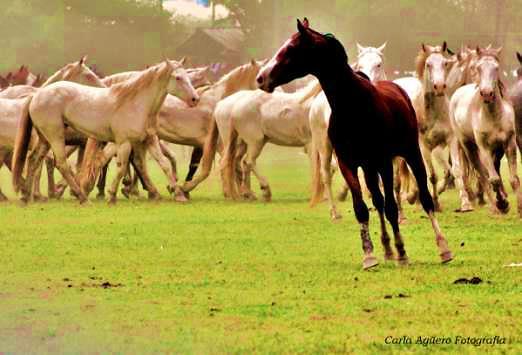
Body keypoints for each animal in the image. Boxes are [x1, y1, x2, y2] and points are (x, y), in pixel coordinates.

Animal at [13, 59, 199, 204]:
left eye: (188, 76)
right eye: (178, 77)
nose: (195, 99)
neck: (136, 103)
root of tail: (37, 94)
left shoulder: (148, 140)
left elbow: (164, 164)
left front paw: (178, 194)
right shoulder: (124, 143)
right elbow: (121, 168)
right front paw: (112, 196)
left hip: (45, 139)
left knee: (34, 160)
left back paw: (27, 197)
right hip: (55, 137)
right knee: (61, 164)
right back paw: (81, 197)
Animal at [256, 18, 450, 270]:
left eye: (290, 48)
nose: (261, 77)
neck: (353, 105)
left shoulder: (383, 162)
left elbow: (392, 206)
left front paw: (402, 252)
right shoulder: (348, 162)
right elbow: (362, 208)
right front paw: (370, 255)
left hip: (411, 153)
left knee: (424, 198)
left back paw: (442, 248)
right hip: (367, 167)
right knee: (377, 200)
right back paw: (386, 248)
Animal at [446, 45, 520, 216]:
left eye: (496, 68)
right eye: (478, 67)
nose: (486, 93)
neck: (494, 116)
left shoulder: (509, 143)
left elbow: (513, 179)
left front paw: (519, 208)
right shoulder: (484, 146)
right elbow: (493, 178)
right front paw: (502, 204)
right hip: (468, 146)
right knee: (481, 173)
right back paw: (493, 206)